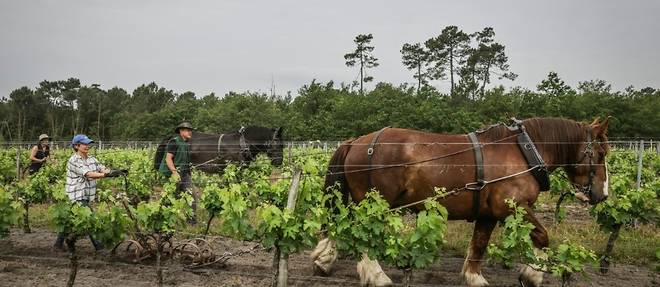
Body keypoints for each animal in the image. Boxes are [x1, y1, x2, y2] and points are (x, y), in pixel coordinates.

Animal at [312, 117, 612, 287]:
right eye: (599, 153)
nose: (603, 194)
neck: (524, 152)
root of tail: (357, 141)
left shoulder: (489, 213)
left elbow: (478, 245)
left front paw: (474, 278)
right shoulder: (511, 206)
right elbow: (542, 236)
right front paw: (533, 275)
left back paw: (325, 261)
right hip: (375, 204)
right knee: (363, 236)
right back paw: (377, 277)